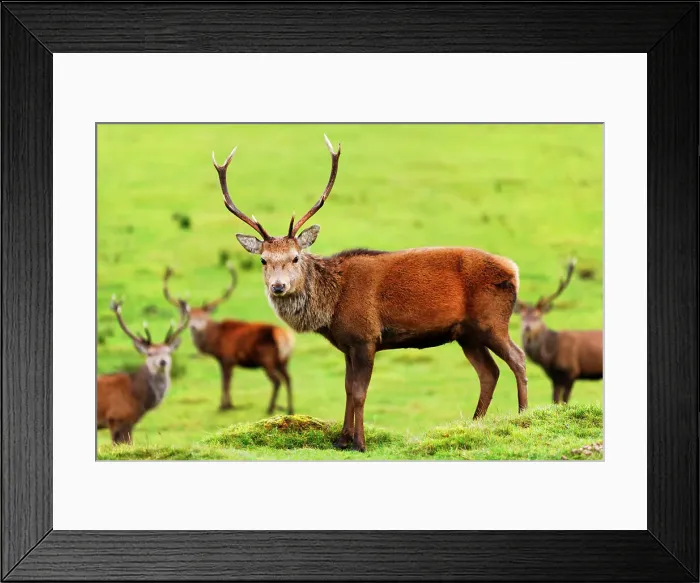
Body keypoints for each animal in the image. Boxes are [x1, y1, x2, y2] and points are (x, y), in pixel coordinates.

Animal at [162, 263, 295, 414]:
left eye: (203, 317)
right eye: (189, 317)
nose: (194, 327)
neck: (215, 340)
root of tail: (283, 335)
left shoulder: (227, 358)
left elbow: (225, 382)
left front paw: (224, 406)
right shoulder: (225, 361)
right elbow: (226, 382)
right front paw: (229, 404)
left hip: (266, 359)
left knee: (277, 381)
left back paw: (270, 408)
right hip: (283, 360)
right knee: (288, 378)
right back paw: (290, 409)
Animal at [210, 135, 528, 452]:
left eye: (296, 257)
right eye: (264, 260)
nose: (278, 286)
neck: (331, 307)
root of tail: (513, 269)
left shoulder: (366, 337)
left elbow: (361, 392)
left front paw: (359, 443)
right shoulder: (347, 343)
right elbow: (348, 389)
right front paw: (342, 439)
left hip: (491, 320)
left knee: (518, 358)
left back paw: (523, 415)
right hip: (467, 333)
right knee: (489, 372)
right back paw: (475, 423)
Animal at [515, 259, 603, 404]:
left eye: (538, 316)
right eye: (522, 317)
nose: (528, 327)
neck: (549, 357)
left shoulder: (571, 372)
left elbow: (565, 400)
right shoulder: (554, 377)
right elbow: (555, 400)